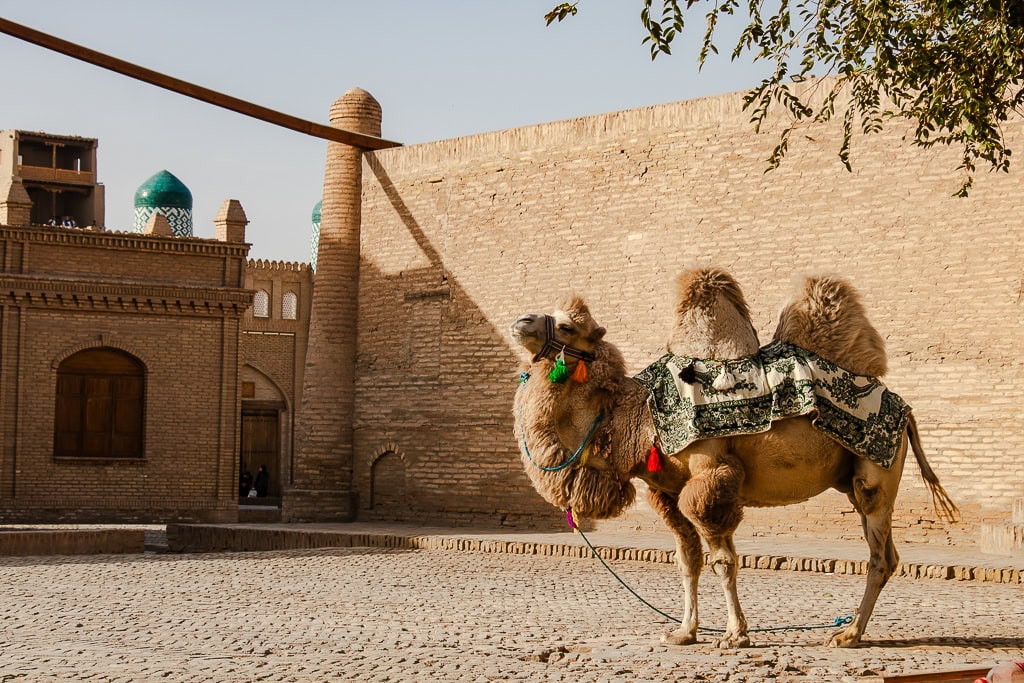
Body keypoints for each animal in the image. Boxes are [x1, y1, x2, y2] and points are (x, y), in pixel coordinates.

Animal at [510, 267, 957, 648]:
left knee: (879, 556)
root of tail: (904, 410)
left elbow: (723, 561)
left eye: (567, 325)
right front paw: (684, 632)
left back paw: (848, 636)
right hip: (852, 483)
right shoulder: (666, 491)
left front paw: (734, 635)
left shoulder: (710, 477)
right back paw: (850, 630)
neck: (638, 419)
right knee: (888, 554)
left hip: (876, 477)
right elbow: (687, 561)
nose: (521, 321)